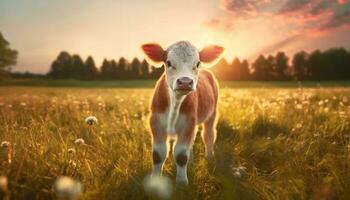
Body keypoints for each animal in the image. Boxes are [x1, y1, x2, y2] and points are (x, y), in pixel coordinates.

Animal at [141, 40, 223, 184]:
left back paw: (209, 157)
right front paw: (155, 180)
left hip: (212, 113)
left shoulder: (188, 123)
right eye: (168, 62)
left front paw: (181, 182)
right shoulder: (155, 122)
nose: (185, 82)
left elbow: (181, 155)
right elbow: (158, 154)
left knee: (209, 135)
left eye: (198, 63)